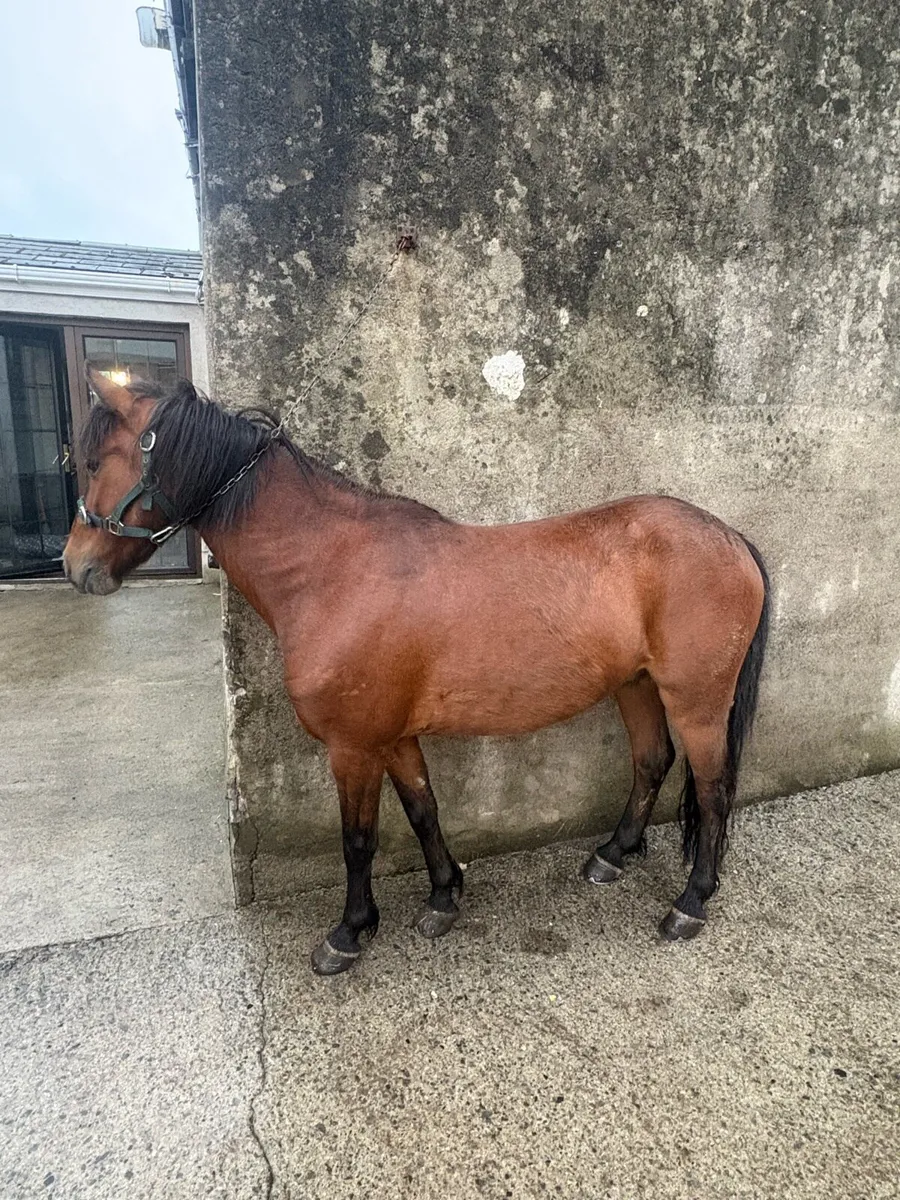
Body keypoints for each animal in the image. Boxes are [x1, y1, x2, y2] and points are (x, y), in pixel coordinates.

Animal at [64, 367, 770, 975]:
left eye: (96, 462)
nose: (76, 567)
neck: (332, 569)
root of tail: (730, 537)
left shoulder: (352, 746)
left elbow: (358, 840)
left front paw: (348, 933)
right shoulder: (394, 737)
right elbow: (423, 808)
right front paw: (443, 897)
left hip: (698, 701)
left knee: (713, 791)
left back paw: (690, 903)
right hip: (637, 686)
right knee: (651, 760)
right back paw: (612, 855)